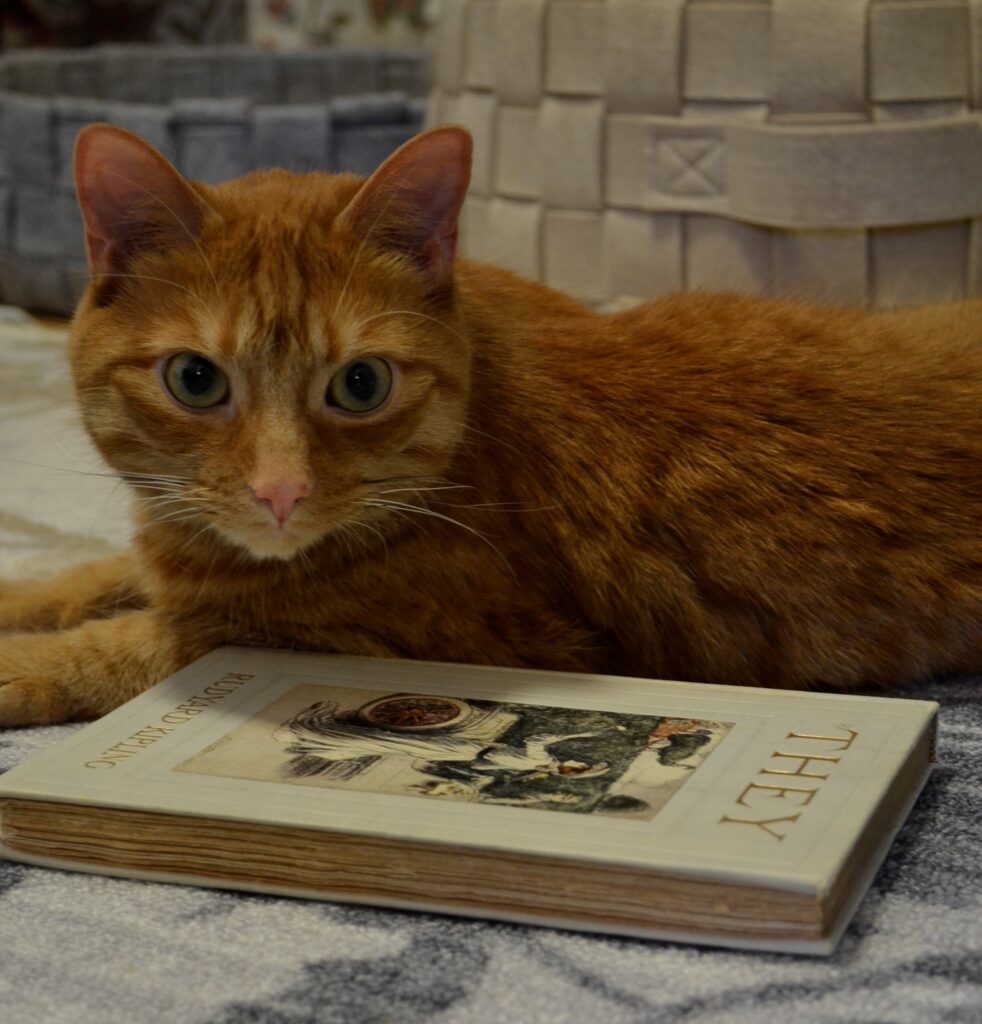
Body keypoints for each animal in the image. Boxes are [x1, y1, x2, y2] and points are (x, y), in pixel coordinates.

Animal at [1, 123, 982, 724]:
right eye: (196, 379)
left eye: (361, 384)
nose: (281, 493)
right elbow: (91, 577)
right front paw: (27, 595)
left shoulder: (395, 639)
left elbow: (128, 644)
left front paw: (20, 662)